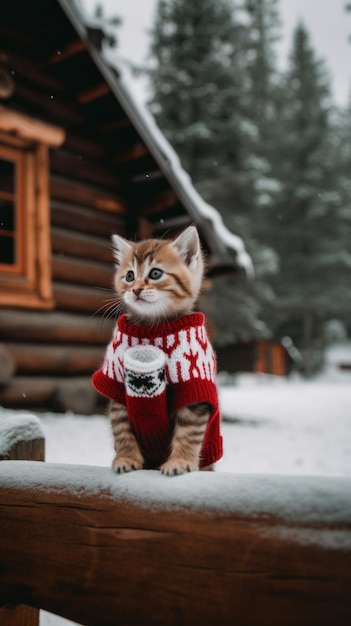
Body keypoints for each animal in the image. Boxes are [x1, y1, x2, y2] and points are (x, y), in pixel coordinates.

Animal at [93, 227, 223, 476]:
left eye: (155, 274)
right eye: (129, 276)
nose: (136, 289)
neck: (154, 326)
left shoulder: (193, 385)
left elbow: (189, 431)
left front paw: (181, 461)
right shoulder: (118, 383)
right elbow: (121, 429)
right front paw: (126, 457)